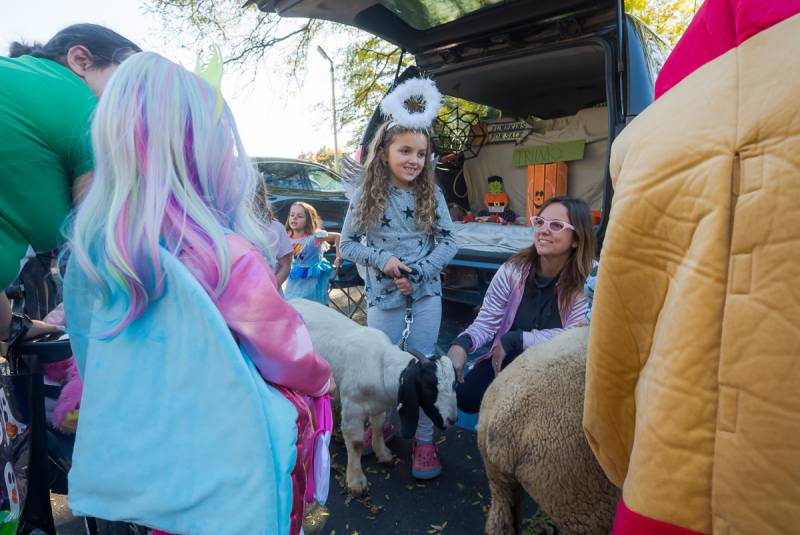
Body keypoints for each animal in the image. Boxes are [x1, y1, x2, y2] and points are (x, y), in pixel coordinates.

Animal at [292, 302, 456, 498]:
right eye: (429, 387)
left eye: (454, 383)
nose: (452, 419)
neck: (381, 364)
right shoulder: (353, 410)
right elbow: (356, 444)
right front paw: (356, 482)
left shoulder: (378, 406)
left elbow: (378, 428)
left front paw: (383, 455)